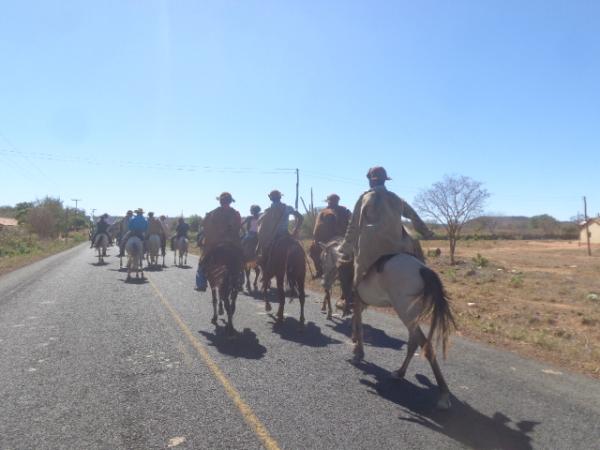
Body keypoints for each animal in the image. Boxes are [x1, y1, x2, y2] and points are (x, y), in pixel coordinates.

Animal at [322, 241, 458, 410]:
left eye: (323, 259)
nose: (323, 282)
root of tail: (423, 269)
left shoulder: (358, 302)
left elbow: (359, 327)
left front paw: (358, 353)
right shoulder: (361, 304)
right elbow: (356, 322)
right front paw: (355, 345)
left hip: (405, 313)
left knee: (425, 344)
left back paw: (443, 394)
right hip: (411, 317)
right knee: (413, 343)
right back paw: (399, 373)